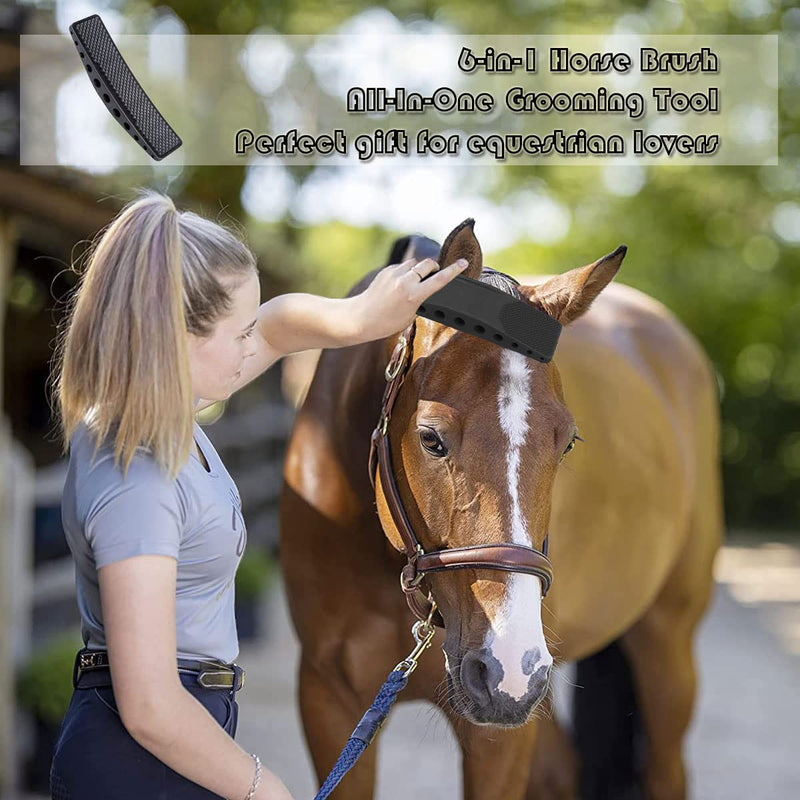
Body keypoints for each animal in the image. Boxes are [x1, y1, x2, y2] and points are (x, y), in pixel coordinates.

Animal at [279, 219, 722, 800]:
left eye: (568, 443)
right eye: (430, 438)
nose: (509, 667)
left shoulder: (499, 730)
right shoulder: (330, 699)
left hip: (661, 644)